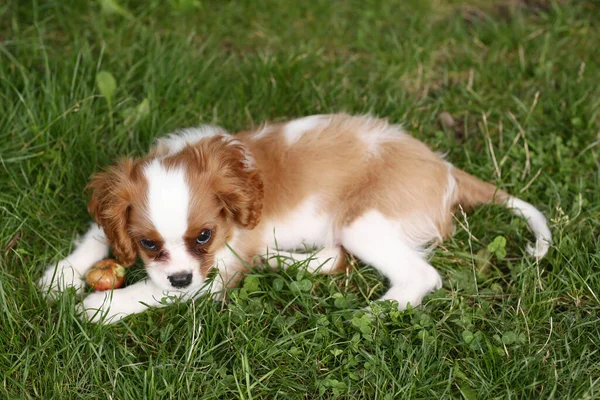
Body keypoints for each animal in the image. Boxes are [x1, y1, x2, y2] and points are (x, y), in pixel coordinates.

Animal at [38, 112, 552, 322]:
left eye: (204, 236)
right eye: (147, 243)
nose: (181, 277)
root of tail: (444, 167)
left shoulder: (217, 271)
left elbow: (150, 292)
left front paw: (99, 306)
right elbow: (97, 233)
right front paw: (59, 276)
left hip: (362, 221)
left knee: (420, 276)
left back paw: (372, 312)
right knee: (335, 258)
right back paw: (282, 262)